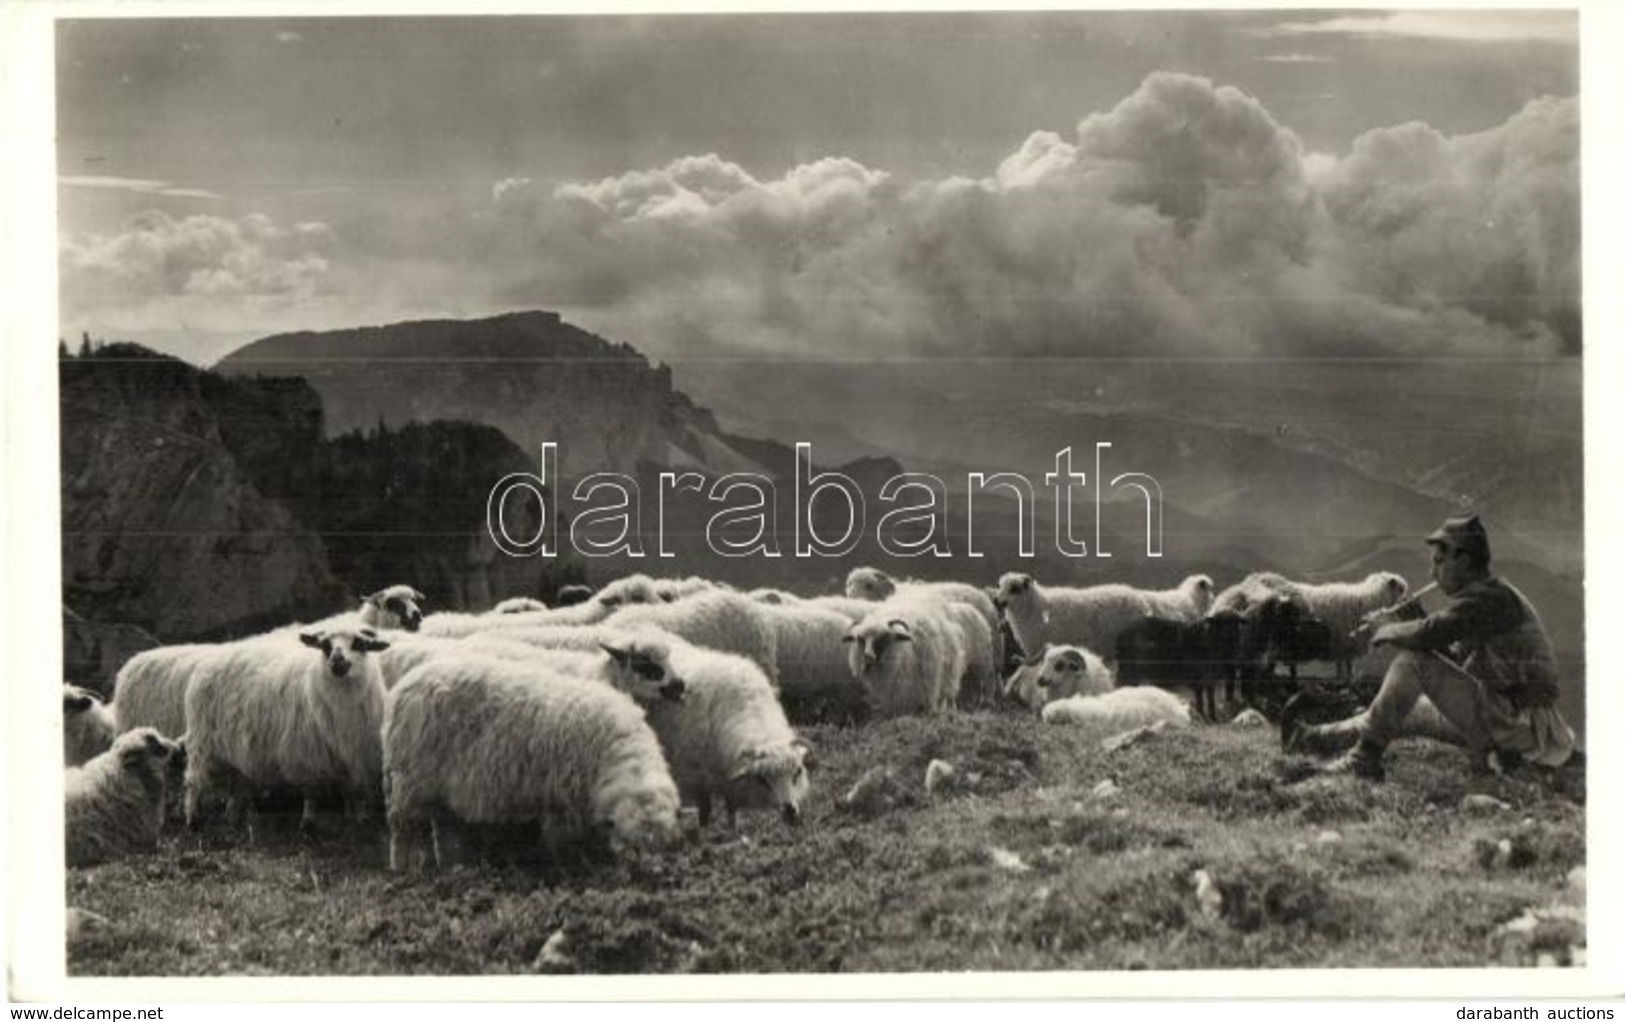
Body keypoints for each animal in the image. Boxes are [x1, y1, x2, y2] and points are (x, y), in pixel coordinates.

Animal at [182, 620, 393, 828]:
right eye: (326, 645)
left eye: (359, 643)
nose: (337, 660)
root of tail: (207, 661)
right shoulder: (306, 754)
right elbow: (311, 791)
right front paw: (308, 822)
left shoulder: (353, 753)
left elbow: (353, 792)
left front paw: (358, 818)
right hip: (203, 743)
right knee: (194, 781)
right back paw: (193, 819)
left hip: (232, 749)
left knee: (235, 784)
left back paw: (234, 817)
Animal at [383, 653, 682, 870]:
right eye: (634, 847)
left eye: (661, 846)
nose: (656, 872)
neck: (620, 751)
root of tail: (403, 686)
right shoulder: (562, 802)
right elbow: (562, 842)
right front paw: (570, 865)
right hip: (409, 782)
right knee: (402, 829)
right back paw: (403, 868)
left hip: (434, 788)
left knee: (440, 826)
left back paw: (450, 865)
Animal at [637, 646, 809, 828]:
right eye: (762, 780)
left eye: (797, 772)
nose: (791, 812)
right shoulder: (696, 777)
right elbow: (705, 809)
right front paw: (703, 828)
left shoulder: (729, 781)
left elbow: (731, 809)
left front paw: (732, 828)